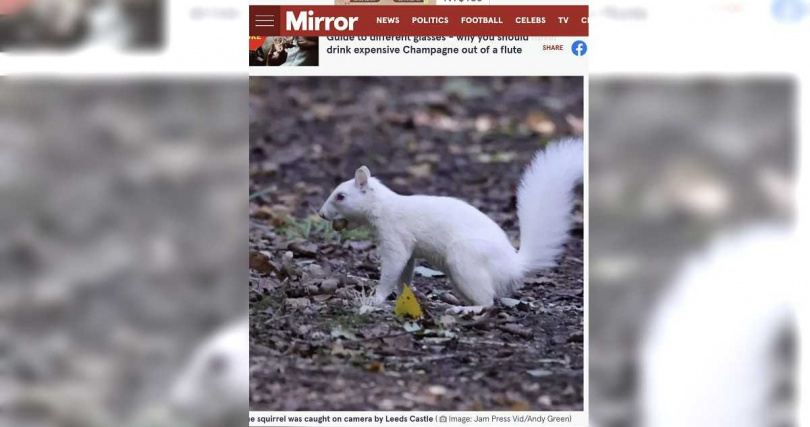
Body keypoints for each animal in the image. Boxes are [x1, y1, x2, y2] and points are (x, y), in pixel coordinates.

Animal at [316, 138, 580, 308]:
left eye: (341, 196)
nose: (321, 214)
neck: (384, 206)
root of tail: (514, 266)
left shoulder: (395, 237)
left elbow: (393, 268)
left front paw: (375, 299)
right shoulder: (409, 248)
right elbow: (405, 273)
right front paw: (403, 299)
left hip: (464, 257)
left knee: (487, 302)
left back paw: (464, 309)